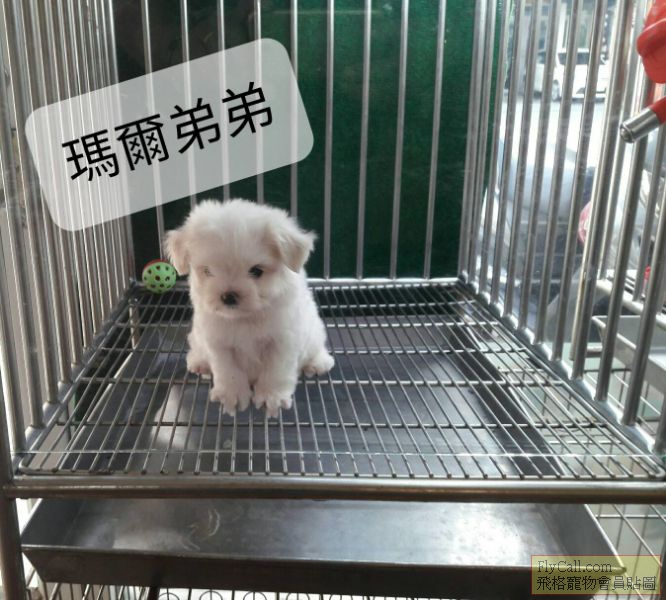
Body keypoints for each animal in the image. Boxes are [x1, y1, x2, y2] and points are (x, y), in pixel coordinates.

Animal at [165, 199, 334, 417]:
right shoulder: (219, 342)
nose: (228, 296)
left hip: (314, 331)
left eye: (256, 271)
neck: (245, 317)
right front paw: (232, 396)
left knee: (316, 347)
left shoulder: (283, 341)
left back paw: (318, 363)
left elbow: (276, 371)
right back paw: (199, 363)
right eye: (207, 271)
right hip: (198, 336)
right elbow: (228, 371)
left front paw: (272, 397)